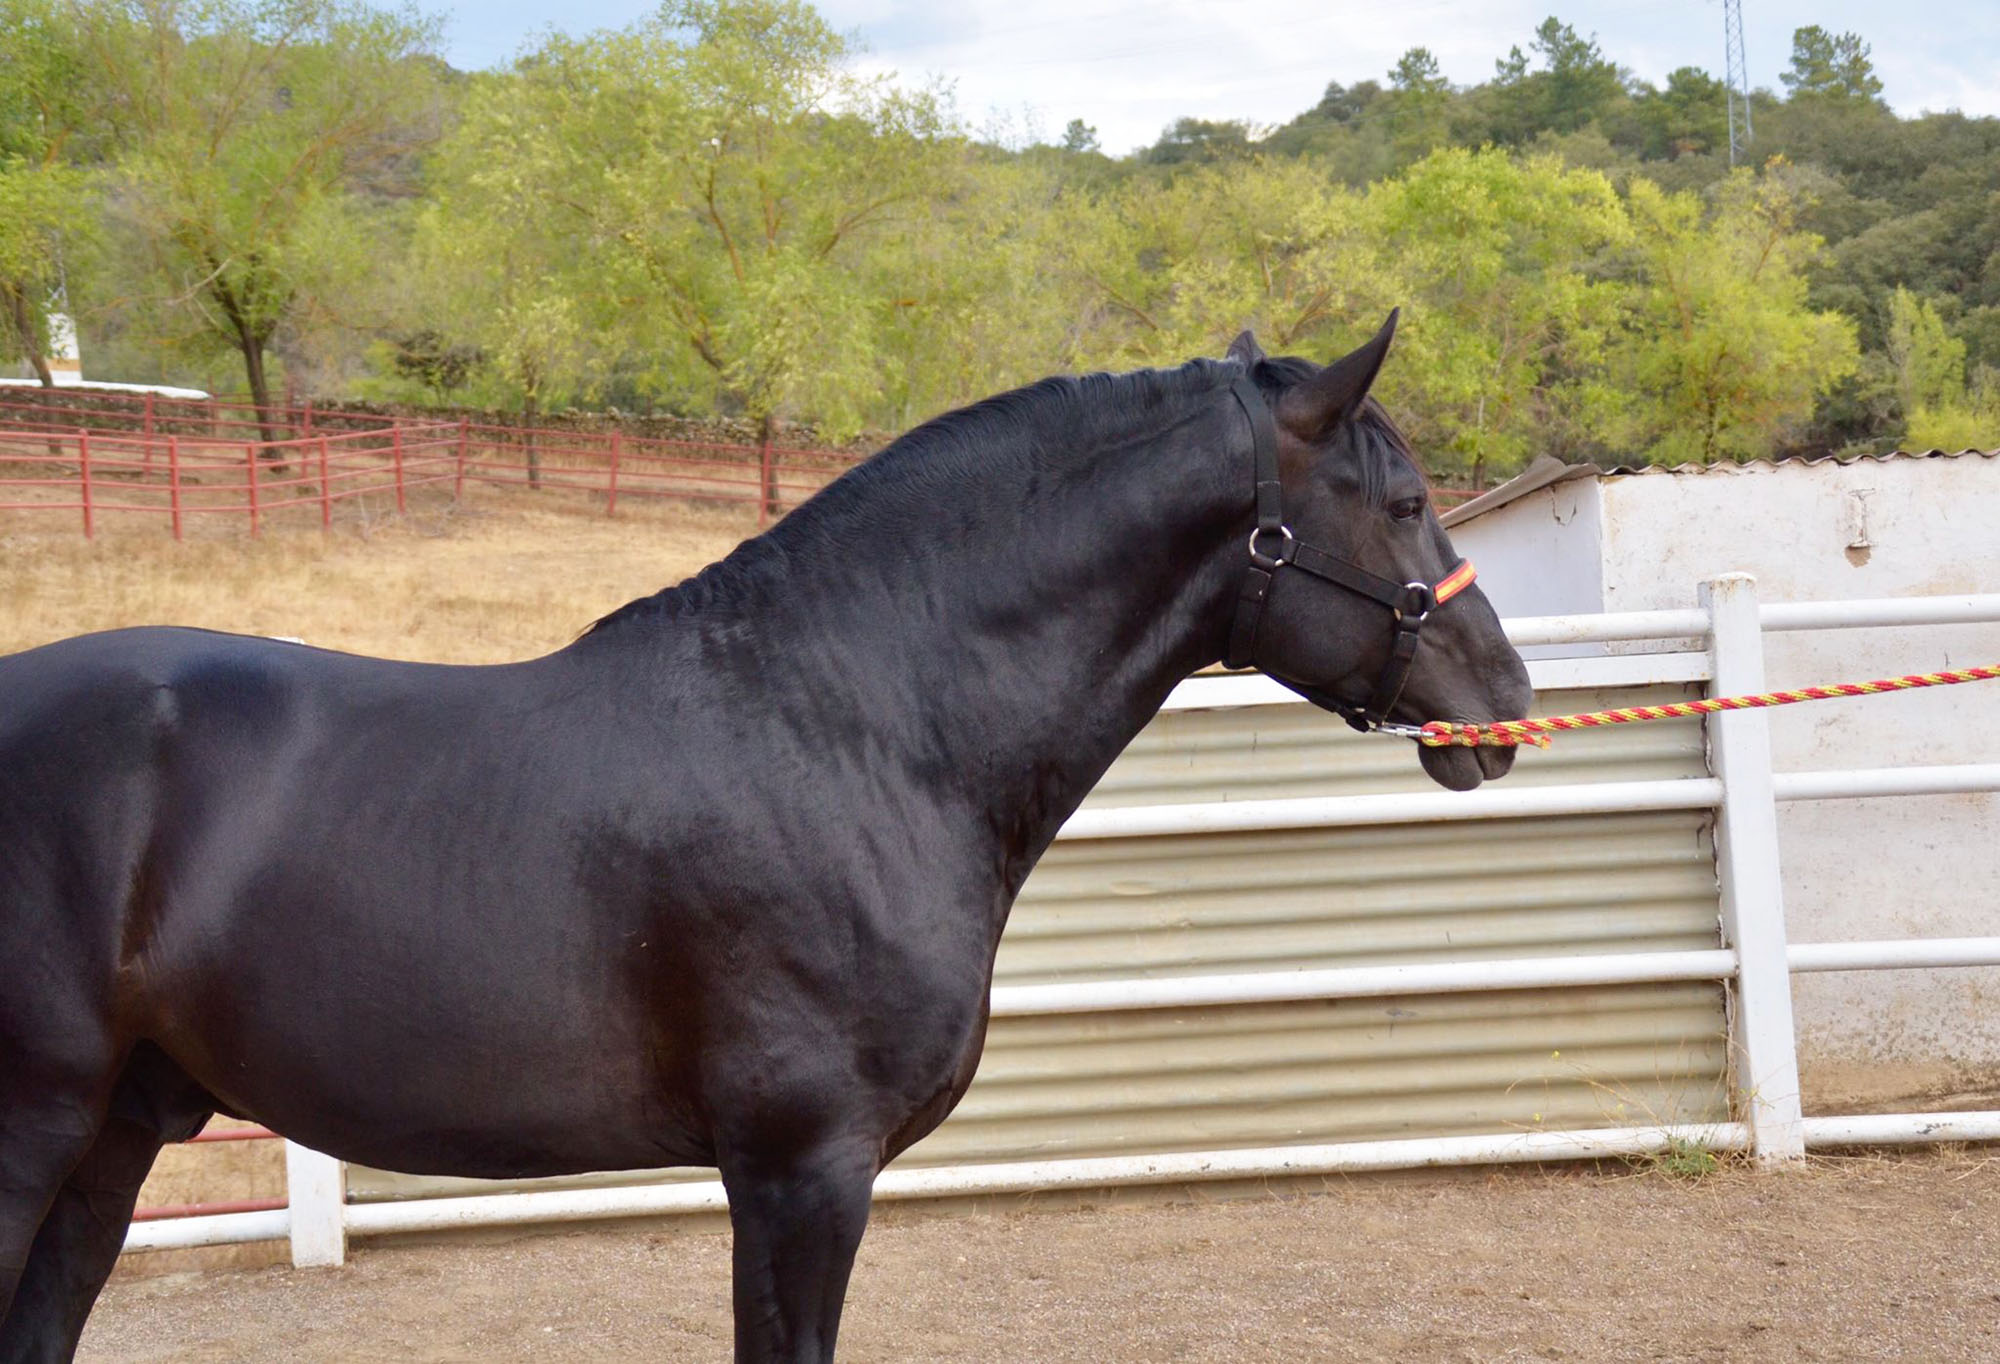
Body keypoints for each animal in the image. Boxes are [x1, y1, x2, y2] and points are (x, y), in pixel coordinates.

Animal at [3, 314, 1528, 1352]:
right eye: (1404, 503)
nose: (1505, 705)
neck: (861, 731)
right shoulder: (804, 1171)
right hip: (37, 1126)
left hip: (115, 1138)